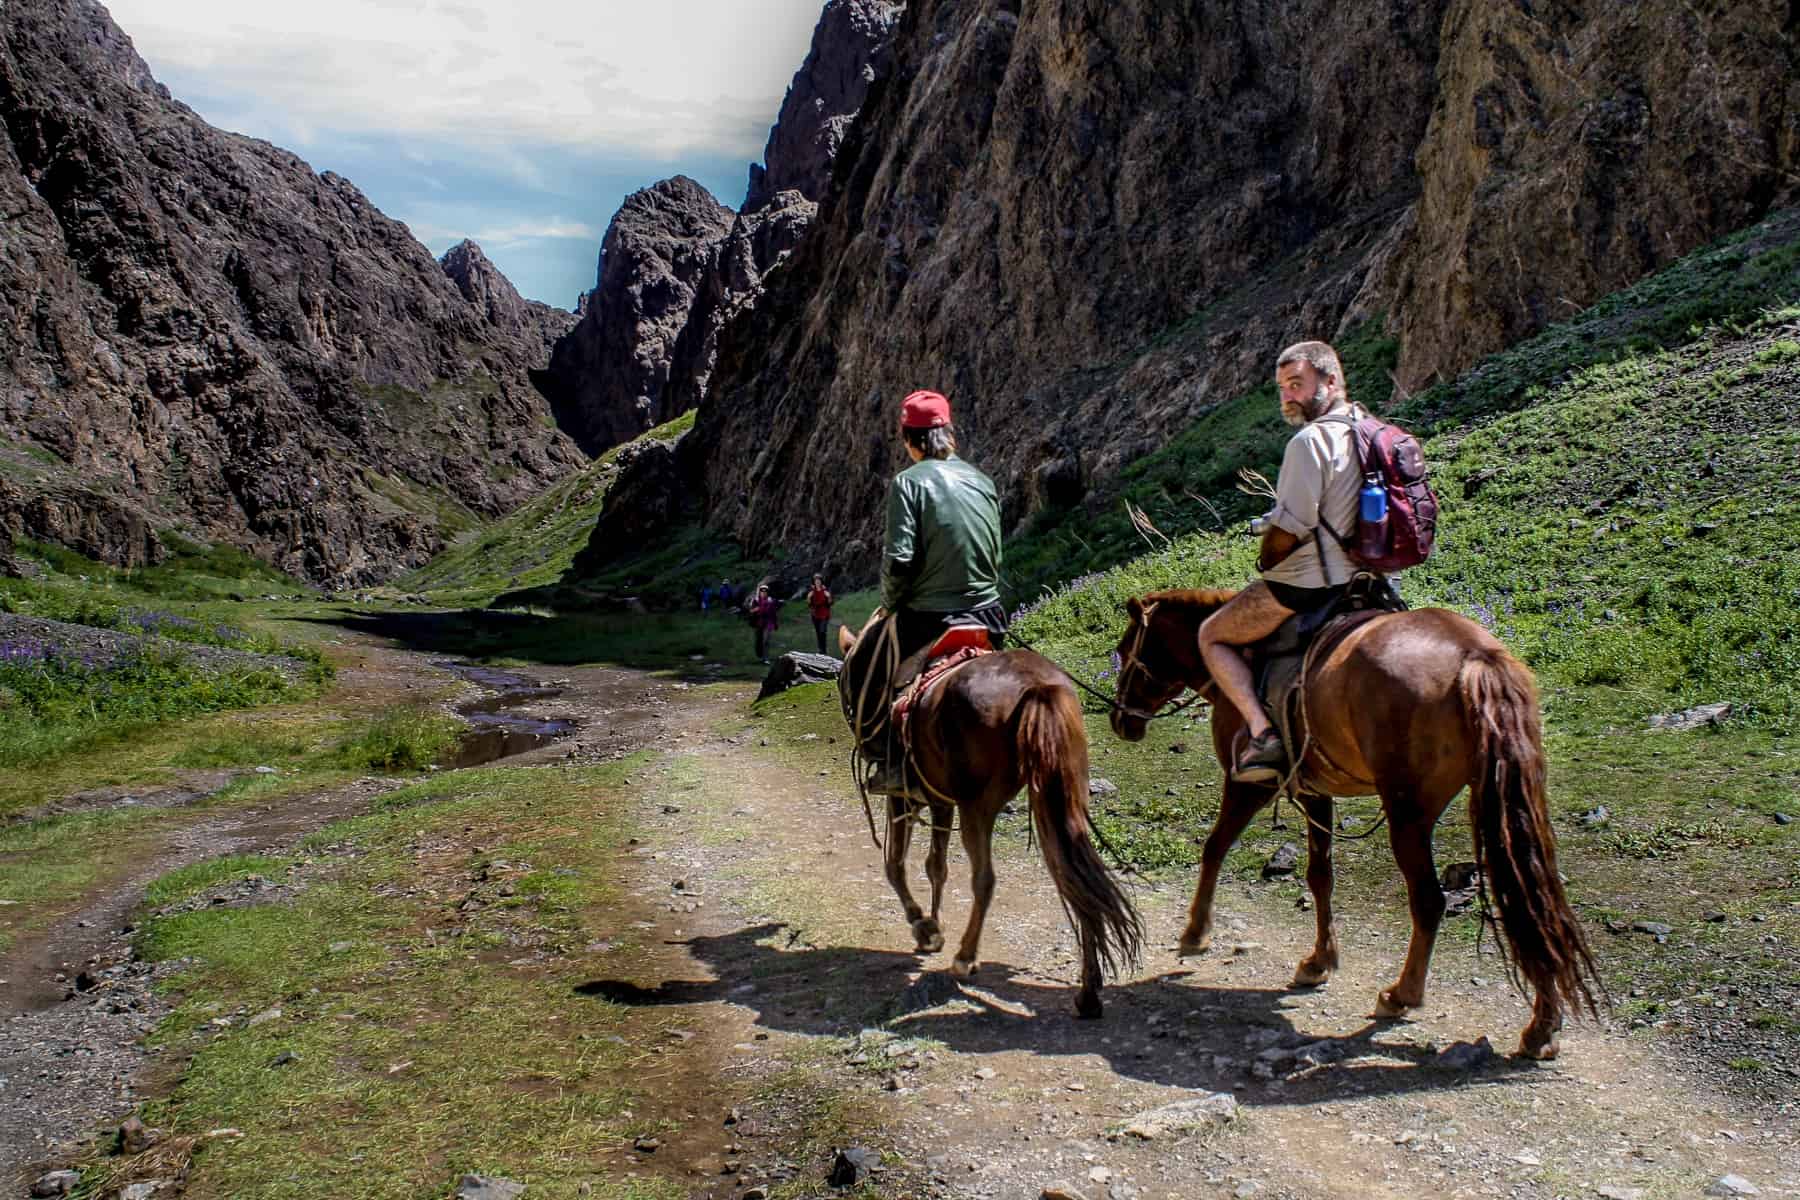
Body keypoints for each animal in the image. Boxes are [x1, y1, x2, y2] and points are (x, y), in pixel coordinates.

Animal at [838, 618, 1144, 1021]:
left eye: (846, 680)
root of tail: (1037, 687)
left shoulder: (903, 797)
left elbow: (896, 865)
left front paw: (924, 926)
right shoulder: (940, 801)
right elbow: (935, 866)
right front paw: (934, 927)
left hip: (977, 806)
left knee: (985, 879)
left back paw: (966, 957)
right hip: (1059, 797)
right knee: (1075, 878)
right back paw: (1088, 993)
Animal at [1108, 593, 1605, 1057]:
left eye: (1124, 648)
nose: (1118, 718)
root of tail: (1475, 657)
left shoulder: (1250, 784)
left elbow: (1214, 847)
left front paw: (1195, 933)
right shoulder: (1314, 789)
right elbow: (1320, 875)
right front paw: (1319, 961)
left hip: (1408, 814)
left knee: (1431, 902)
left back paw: (1402, 995)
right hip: (1504, 803)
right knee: (1533, 903)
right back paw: (1542, 1025)